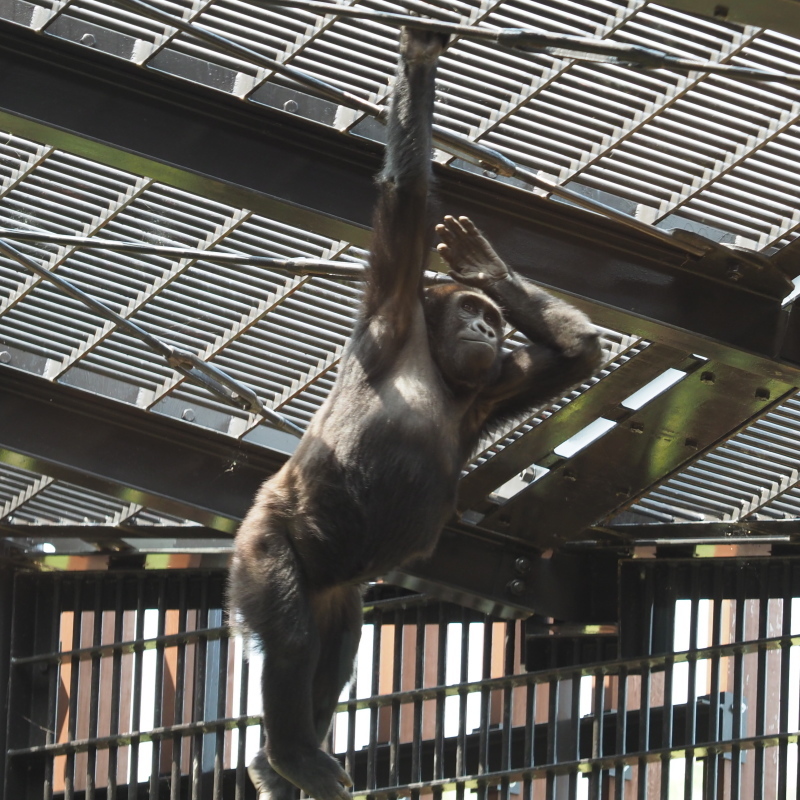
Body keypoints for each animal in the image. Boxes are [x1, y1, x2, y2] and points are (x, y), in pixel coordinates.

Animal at [225, 25, 600, 800]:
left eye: (494, 317)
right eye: (473, 313)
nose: (488, 325)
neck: (440, 365)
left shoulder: (499, 380)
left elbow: (579, 355)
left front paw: (490, 264)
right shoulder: (394, 308)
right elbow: (406, 194)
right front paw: (420, 59)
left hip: (338, 590)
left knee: (335, 655)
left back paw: (275, 761)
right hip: (264, 542)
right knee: (291, 636)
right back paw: (292, 755)